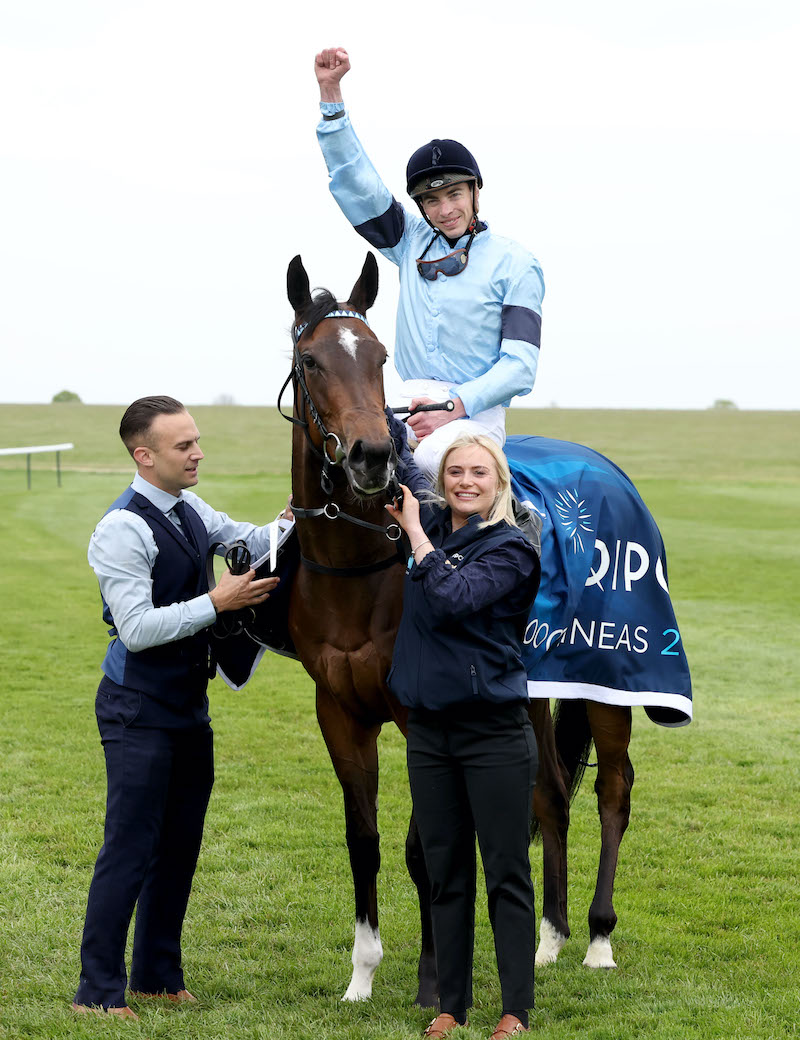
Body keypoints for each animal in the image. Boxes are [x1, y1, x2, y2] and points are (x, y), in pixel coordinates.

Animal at [278, 249, 653, 998]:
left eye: (379, 356)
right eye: (310, 360)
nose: (370, 455)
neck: (361, 565)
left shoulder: (424, 710)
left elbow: (427, 844)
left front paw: (433, 978)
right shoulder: (338, 710)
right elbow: (363, 840)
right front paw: (361, 974)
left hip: (608, 680)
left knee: (613, 791)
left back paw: (598, 938)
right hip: (530, 695)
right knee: (551, 796)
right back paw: (548, 939)